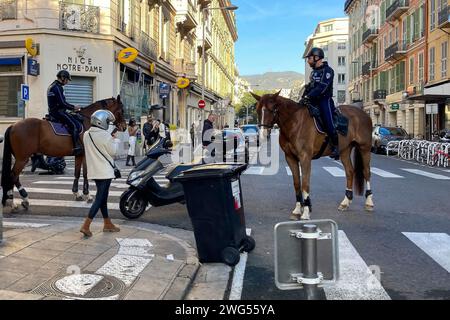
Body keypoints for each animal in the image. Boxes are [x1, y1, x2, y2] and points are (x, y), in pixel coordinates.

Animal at [251, 90, 374, 220]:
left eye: (273, 109)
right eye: (258, 110)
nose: (263, 135)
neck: (294, 122)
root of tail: (363, 114)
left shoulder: (305, 157)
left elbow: (305, 184)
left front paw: (305, 211)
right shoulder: (290, 158)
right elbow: (297, 184)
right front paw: (297, 210)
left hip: (364, 148)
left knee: (366, 172)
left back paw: (369, 202)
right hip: (345, 150)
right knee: (350, 172)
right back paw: (345, 202)